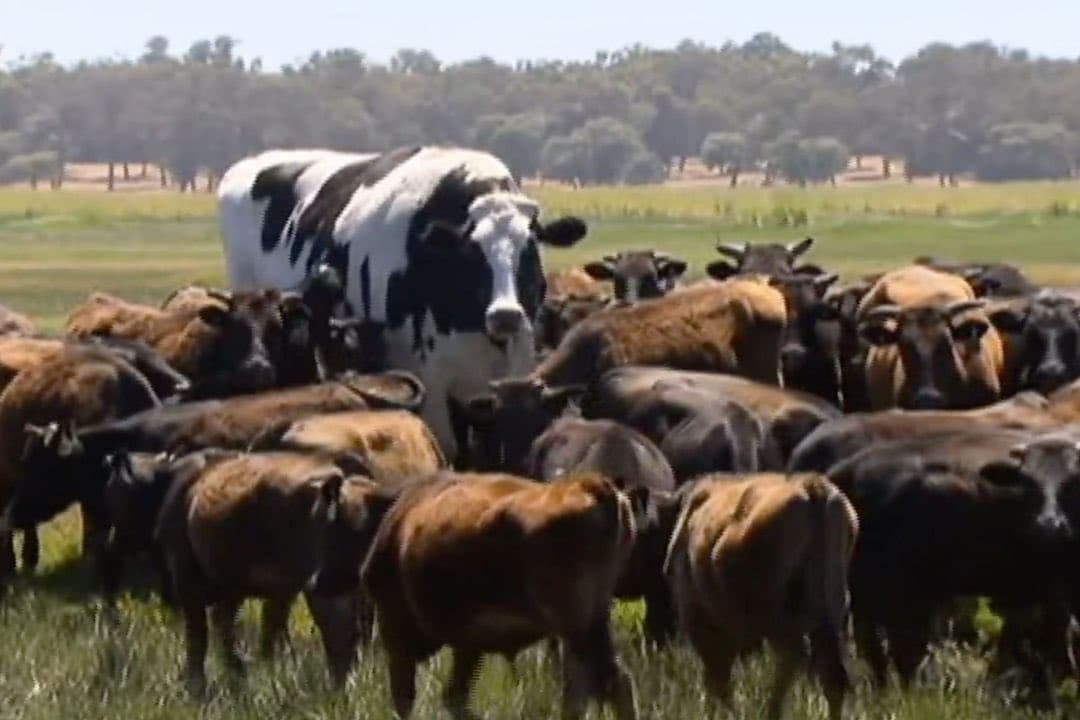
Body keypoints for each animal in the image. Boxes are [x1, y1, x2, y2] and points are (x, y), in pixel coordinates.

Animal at [218, 146, 588, 461]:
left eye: (530, 249)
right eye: (472, 251)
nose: (505, 315)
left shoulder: (515, 368)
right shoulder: (427, 380)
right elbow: (449, 451)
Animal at [360, 471, 640, 719]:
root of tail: (592, 485)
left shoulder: (396, 630)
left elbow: (409, 698)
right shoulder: (468, 644)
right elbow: (453, 696)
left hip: (577, 627)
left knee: (608, 682)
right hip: (586, 625)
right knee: (583, 689)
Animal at [664, 473, 858, 720]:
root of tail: (812, 487)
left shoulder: (702, 620)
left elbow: (717, 678)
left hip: (777, 618)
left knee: (791, 658)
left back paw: (771, 709)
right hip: (826, 616)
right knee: (831, 677)